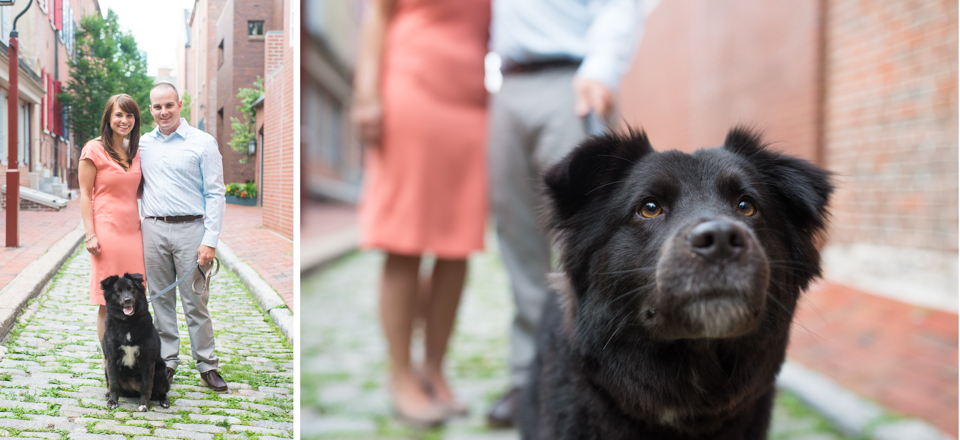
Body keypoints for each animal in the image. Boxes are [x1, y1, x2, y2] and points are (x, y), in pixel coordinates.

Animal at [101, 274, 171, 410]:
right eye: (117, 291)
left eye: (132, 289)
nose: (127, 300)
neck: (128, 323)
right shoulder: (111, 359)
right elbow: (113, 384)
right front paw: (113, 401)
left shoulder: (148, 361)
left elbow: (146, 385)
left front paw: (143, 404)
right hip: (106, 369)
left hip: (161, 371)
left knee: (162, 391)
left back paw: (164, 401)